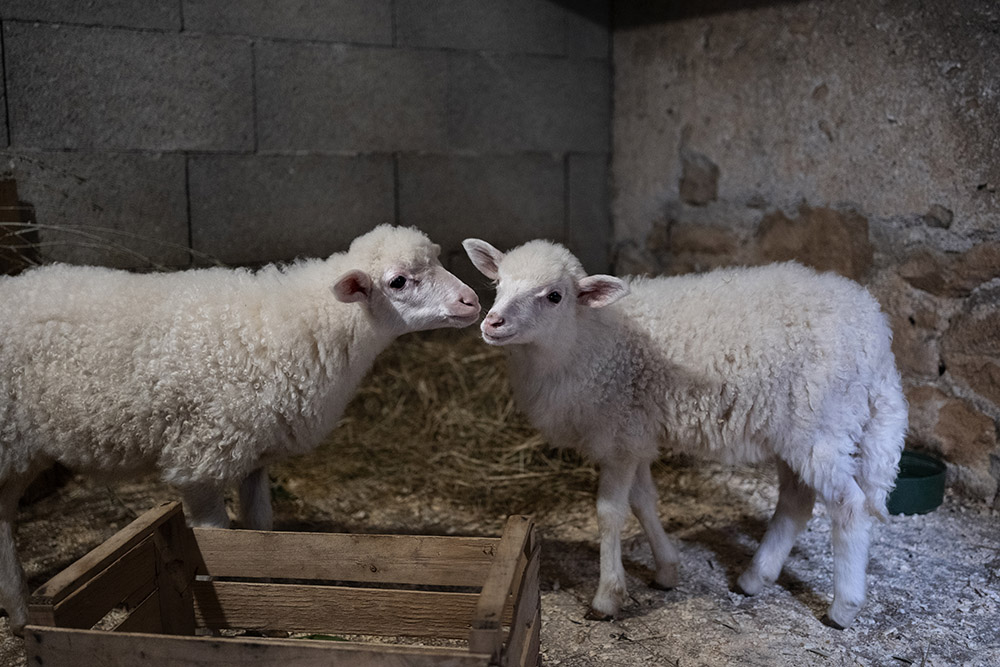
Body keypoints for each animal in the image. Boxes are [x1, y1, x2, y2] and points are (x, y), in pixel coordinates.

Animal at [0, 224, 480, 634]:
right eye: (398, 282)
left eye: (438, 260)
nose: (472, 301)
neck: (298, 327)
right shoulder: (200, 460)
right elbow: (213, 544)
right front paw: (219, 625)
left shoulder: (253, 455)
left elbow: (259, 535)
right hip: (8, 444)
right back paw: (23, 617)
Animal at [463, 237, 907, 629]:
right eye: (498, 284)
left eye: (554, 296)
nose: (492, 322)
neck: (587, 341)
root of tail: (877, 333)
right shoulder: (635, 434)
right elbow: (643, 501)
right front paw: (667, 570)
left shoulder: (618, 435)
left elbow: (610, 513)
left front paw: (607, 596)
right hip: (794, 431)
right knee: (796, 504)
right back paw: (754, 578)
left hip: (823, 427)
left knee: (850, 505)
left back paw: (843, 608)